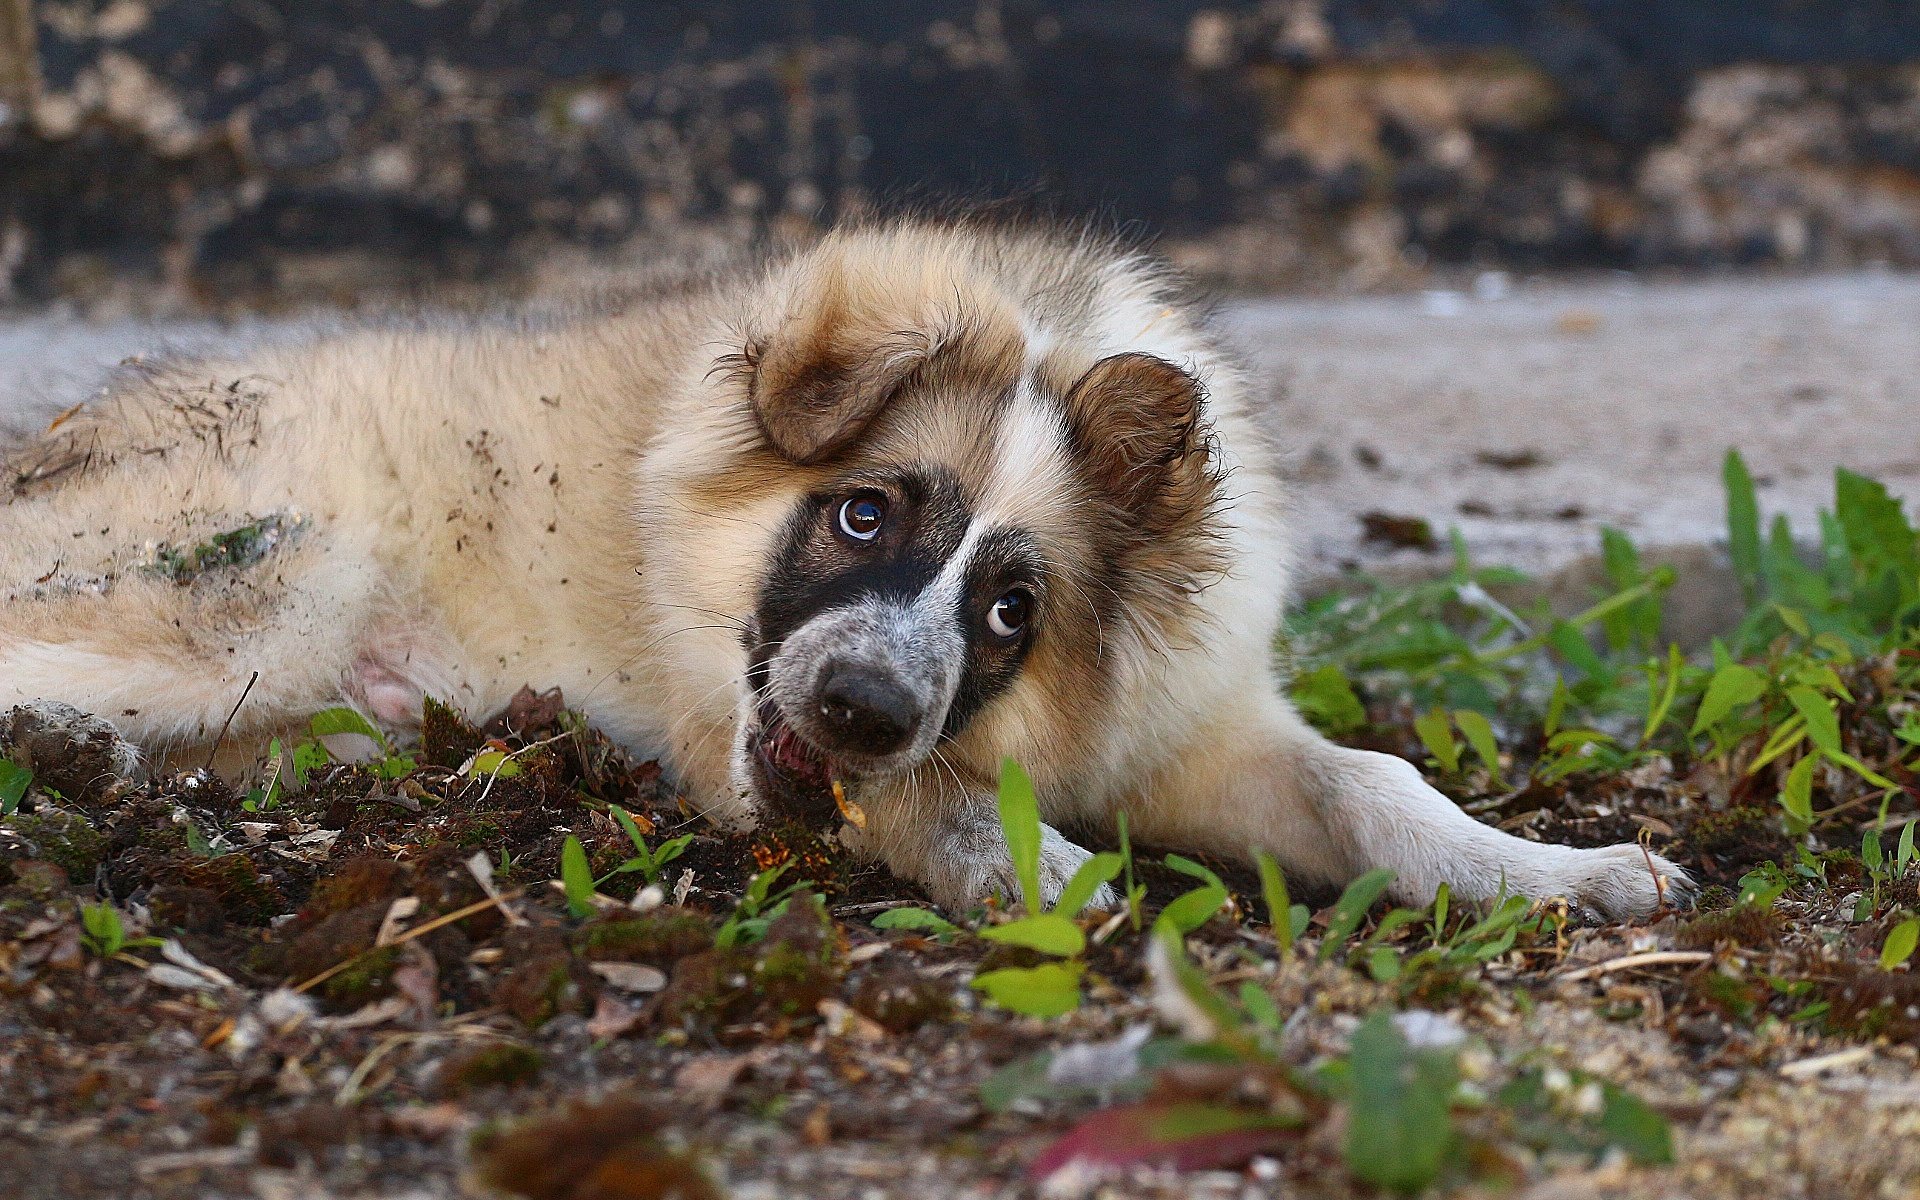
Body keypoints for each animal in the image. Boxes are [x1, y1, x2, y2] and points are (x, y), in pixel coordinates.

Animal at [0, 219, 1681, 917]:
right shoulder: (740, 740)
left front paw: (1556, 872)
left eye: (1015, 609)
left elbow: (1373, 783)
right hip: (261, 583)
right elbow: (926, 800)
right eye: (866, 515)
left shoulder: (1191, 727)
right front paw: (1034, 870)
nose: (863, 708)